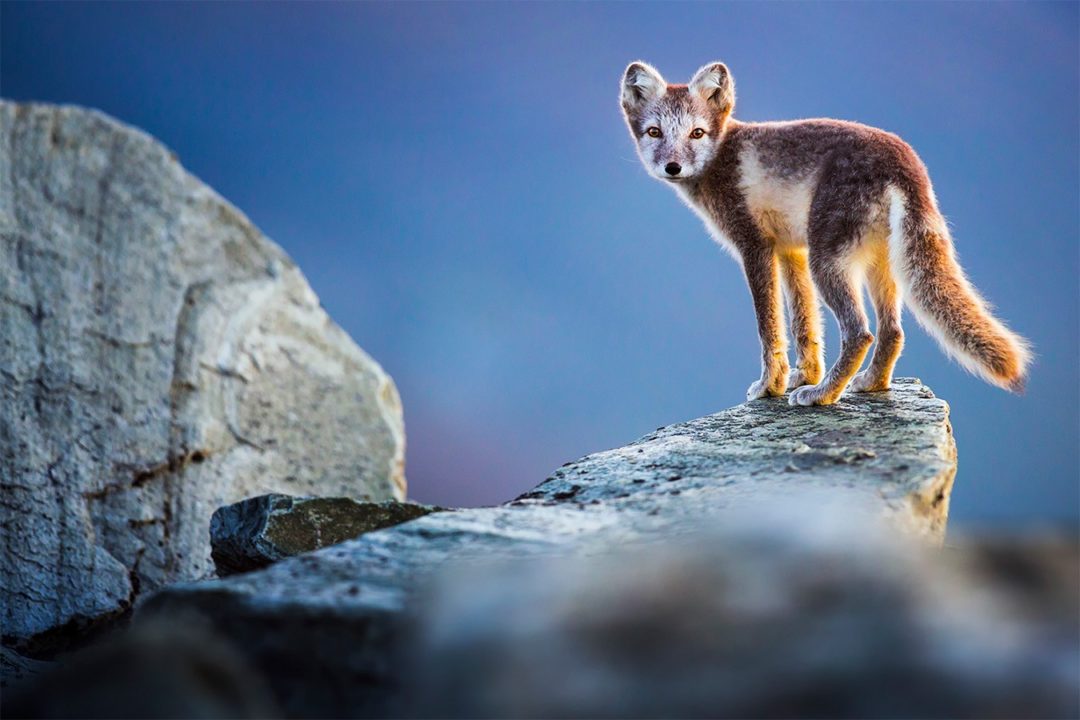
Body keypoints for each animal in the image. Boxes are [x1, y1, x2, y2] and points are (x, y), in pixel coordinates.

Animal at [617, 60, 1028, 405]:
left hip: (828, 260)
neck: (720, 157)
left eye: (697, 133)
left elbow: (770, 327)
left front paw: (771, 386)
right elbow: (804, 322)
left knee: (861, 331)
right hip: (876, 262)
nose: (672, 167)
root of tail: (906, 160)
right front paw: (803, 375)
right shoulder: (790, 251)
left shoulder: (755, 247)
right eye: (654, 132)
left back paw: (824, 395)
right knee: (893, 331)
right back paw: (868, 384)